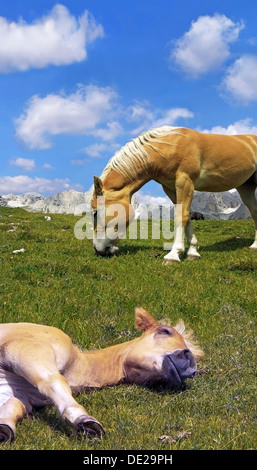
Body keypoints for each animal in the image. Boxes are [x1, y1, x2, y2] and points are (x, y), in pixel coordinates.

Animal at [0, 306, 202, 442]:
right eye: (165, 331)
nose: (189, 361)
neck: (77, 365)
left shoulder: (19, 392)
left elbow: (13, 407)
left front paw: (4, 429)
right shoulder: (25, 350)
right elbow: (53, 381)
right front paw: (84, 421)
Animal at [90, 126, 256, 262]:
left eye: (95, 212)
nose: (98, 250)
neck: (168, 147)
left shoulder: (185, 182)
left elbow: (180, 216)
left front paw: (174, 255)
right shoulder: (171, 188)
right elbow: (185, 216)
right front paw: (192, 252)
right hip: (245, 188)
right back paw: (254, 245)